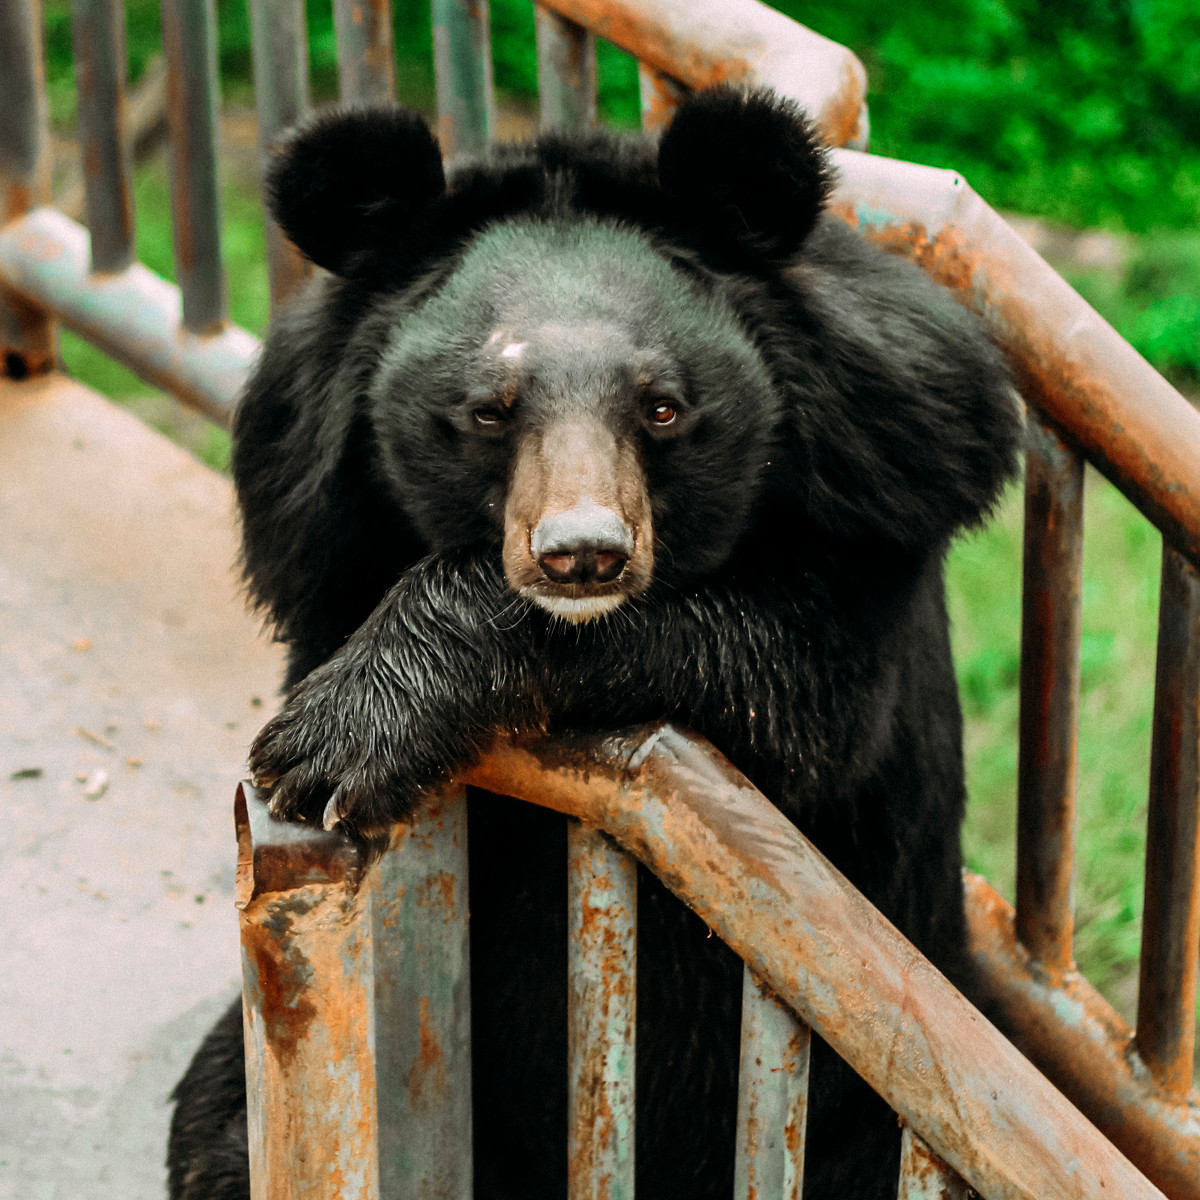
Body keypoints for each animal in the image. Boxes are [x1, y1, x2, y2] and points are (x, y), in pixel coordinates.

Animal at [166, 87, 1022, 1200]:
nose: (583, 555)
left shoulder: (890, 490)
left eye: (663, 407)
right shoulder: (312, 536)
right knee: (216, 1122)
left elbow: (791, 692)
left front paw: (335, 743)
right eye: (489, 411)